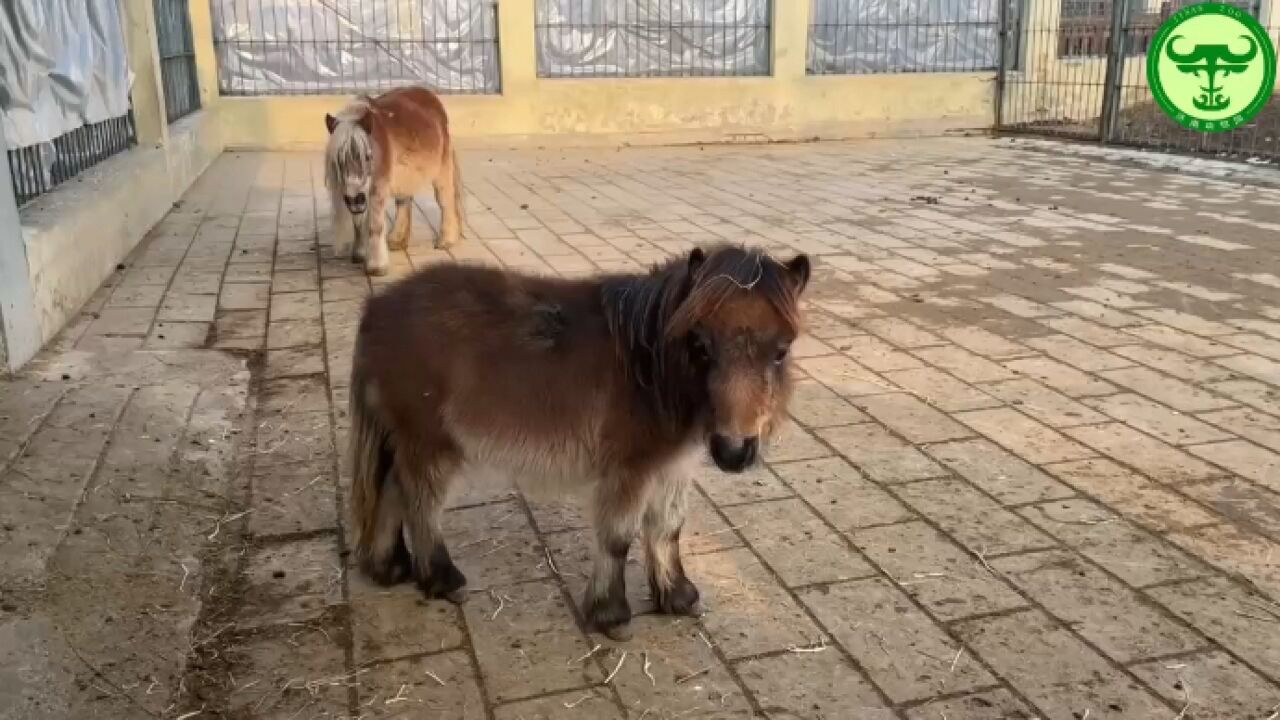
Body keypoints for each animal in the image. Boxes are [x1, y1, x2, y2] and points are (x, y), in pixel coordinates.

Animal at [322, 84, 463, 274]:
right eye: (338, 160)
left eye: (367, 157)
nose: (355, 199)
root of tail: (430, 95)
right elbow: (358, 222)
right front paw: (359, 254)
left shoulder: (376, 189)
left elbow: (375, 225)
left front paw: (376, 266)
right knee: (404, 202)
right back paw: (397, 240)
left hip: (442, 167)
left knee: (445, 200)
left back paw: (446, 240)